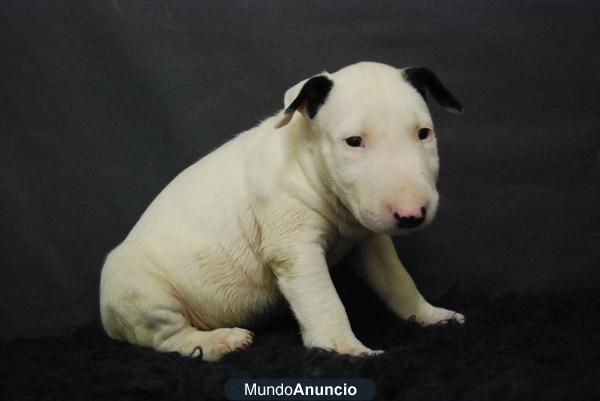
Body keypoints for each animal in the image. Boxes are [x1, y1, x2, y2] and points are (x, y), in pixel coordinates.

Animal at [99, 61, 464, 360]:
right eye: (353, 141)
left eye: (424, 133)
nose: (411, 214)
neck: (307, 164)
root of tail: (108, 323)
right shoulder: (295, 249)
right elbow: (325, 301)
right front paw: (346, 348)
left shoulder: (369, 241)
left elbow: (397, 280)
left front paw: (429, 315)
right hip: (143, 291)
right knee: (169, 339)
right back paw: (219, 341)